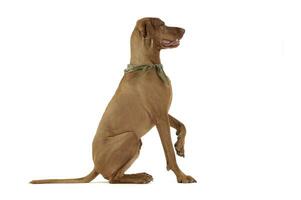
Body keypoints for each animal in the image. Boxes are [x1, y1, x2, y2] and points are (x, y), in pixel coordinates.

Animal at [29, 18, 195, 184]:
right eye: (162, 25)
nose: (184, 30)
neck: (147, 67)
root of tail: (95, 166)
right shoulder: (160, 117)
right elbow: (170, 153)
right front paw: (182, 176)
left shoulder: (163, 112)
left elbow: (182, 125)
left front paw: (180, 145)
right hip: (131, 137)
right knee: (113, 178)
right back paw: (139, 178)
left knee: (117, 175)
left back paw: (139, 175)